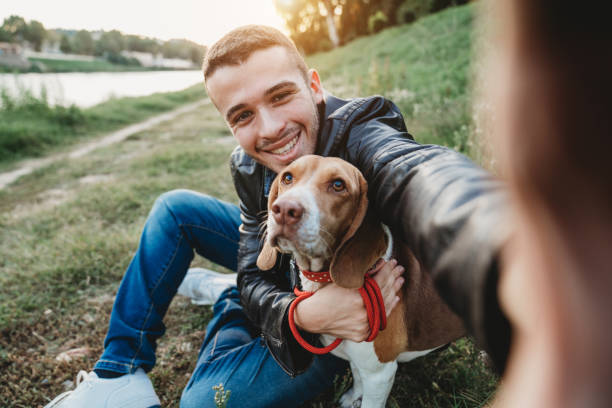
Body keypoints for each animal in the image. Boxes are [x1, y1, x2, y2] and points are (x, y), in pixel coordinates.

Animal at [256, 155, 464, 408]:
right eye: (287, 177)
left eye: (338, 185)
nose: (285, 209)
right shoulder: (359, 364)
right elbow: (356, 376)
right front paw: (354, 395)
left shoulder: (380, 374)